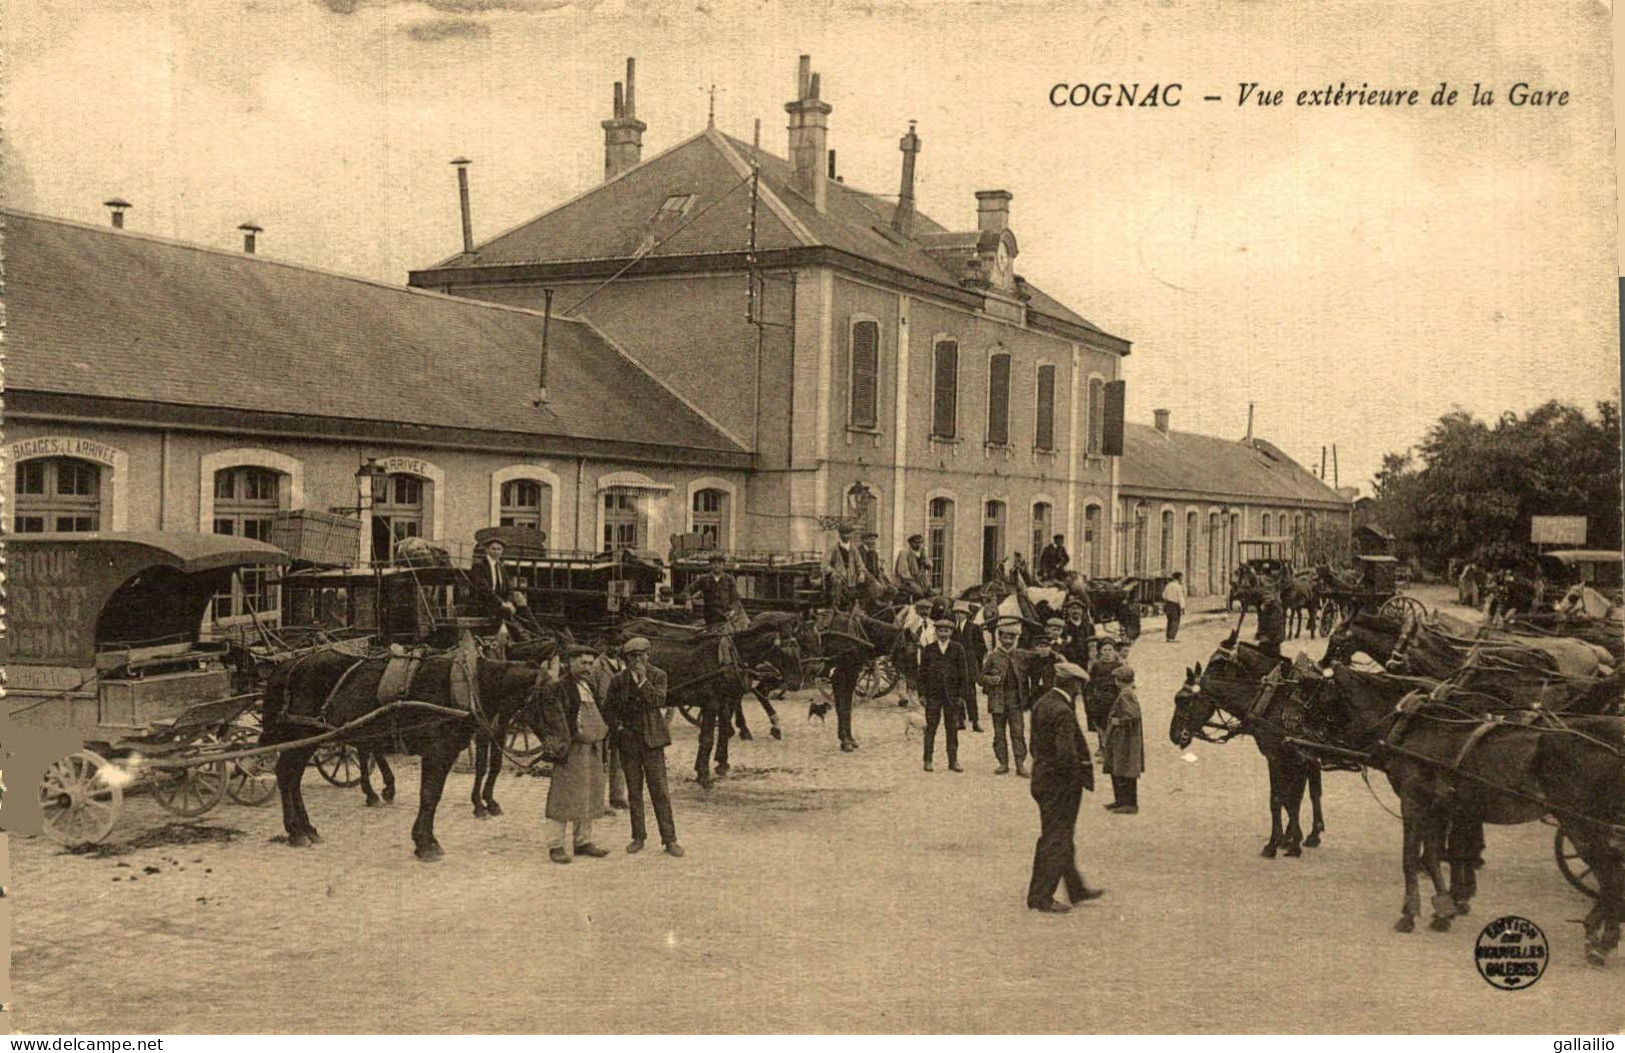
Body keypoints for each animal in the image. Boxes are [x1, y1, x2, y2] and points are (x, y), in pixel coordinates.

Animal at [260, 650, 549, 864]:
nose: (557, 748)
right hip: (301, 736)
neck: (464, 688)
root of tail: (290, 664)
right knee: (286, 774)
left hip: (309, 739)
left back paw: (308, 828)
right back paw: (296, 832)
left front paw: (430, 838)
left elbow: (438, 793)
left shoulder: (452, 749)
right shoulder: (436, 752)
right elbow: (430, 795)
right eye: (548, 701)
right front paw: (425, 844)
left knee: (293, 778)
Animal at [1170, 637, 1332, 858]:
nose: (1173, 734)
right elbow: (1288, 798)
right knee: (1314, 789)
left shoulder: (1285, 758)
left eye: (1183, 700)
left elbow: (1283, 799)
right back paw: (1312, 833)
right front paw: (1289, 838)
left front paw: (1278, 843)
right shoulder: (1290, 758)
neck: (1276, 697)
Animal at [1300, 666, 1618, 962]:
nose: (1300, 742)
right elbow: (1434, 856)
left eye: (1319, 698)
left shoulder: (1413, 802)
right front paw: (1444, 908)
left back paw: (1599, 938)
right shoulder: (1439, 806)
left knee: (1610, 873)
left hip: (1578, 822)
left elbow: (1411, 857)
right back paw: (1602, 933)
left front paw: (1410, 912)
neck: (1413, 726)